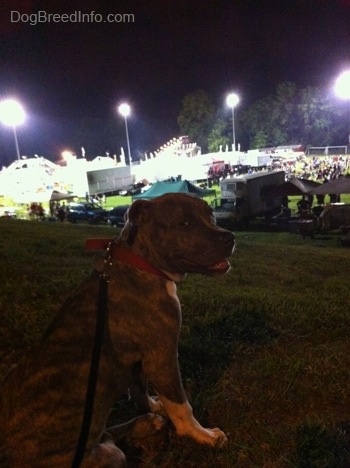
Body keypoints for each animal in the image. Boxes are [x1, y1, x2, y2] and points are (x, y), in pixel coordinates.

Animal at [0, 192, 235, 466]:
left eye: (210, 215)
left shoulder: (141, 359)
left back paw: (147, 423)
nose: (230, 237)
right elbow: (181, 405)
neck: (142, 263)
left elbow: (140, 389)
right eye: (184, 224)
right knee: (110, 441)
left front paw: (152, 406)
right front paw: (203, 435)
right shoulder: (162, 354)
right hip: (107, 455)